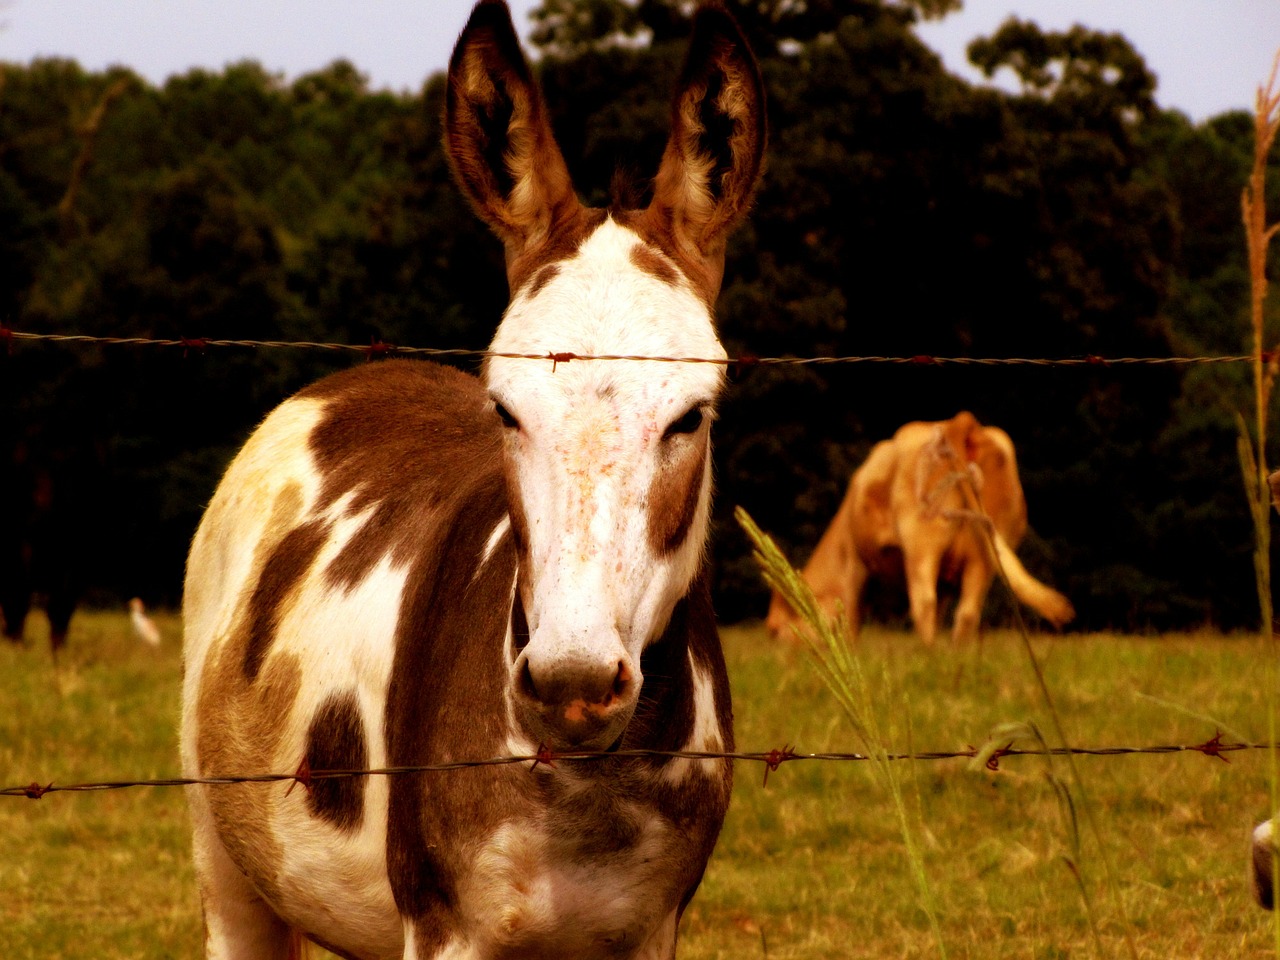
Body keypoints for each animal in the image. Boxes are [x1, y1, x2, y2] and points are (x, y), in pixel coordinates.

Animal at [179, 3, 757, 957]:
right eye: (504, 409)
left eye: (692, 416)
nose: (571, 685)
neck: (585, 798)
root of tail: (364, 375)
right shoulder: (445, 929)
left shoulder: (653, 927)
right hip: (228, 865)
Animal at [762, 409, 1075, 642]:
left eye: (776, 630)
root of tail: (960, 422)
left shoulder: (854, 567)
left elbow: (850, 617)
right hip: (984, 554)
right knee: (966, 613)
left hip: (921, 542)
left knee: (924, 604)